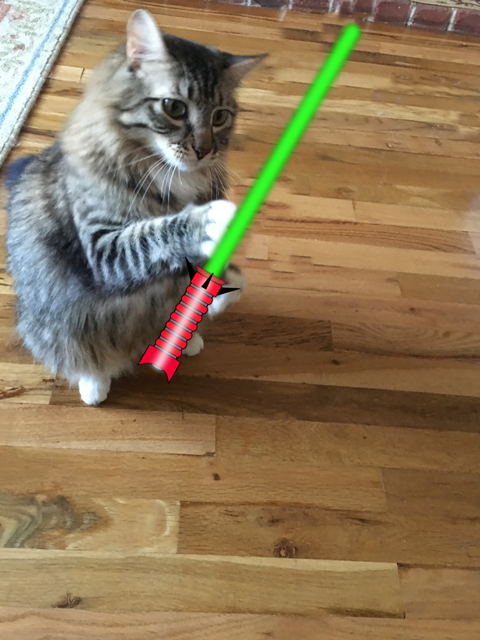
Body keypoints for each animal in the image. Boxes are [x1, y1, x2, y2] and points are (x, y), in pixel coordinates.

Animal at [5, 8, 265, 406]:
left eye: (220, 117)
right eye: (174, 108)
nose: (204, 150)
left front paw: (224, 285)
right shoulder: (103, 249)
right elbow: (156, 233)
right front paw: (211, 220)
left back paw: (188, 338)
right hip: (59, 331)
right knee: (85, 360)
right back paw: (95, 385)